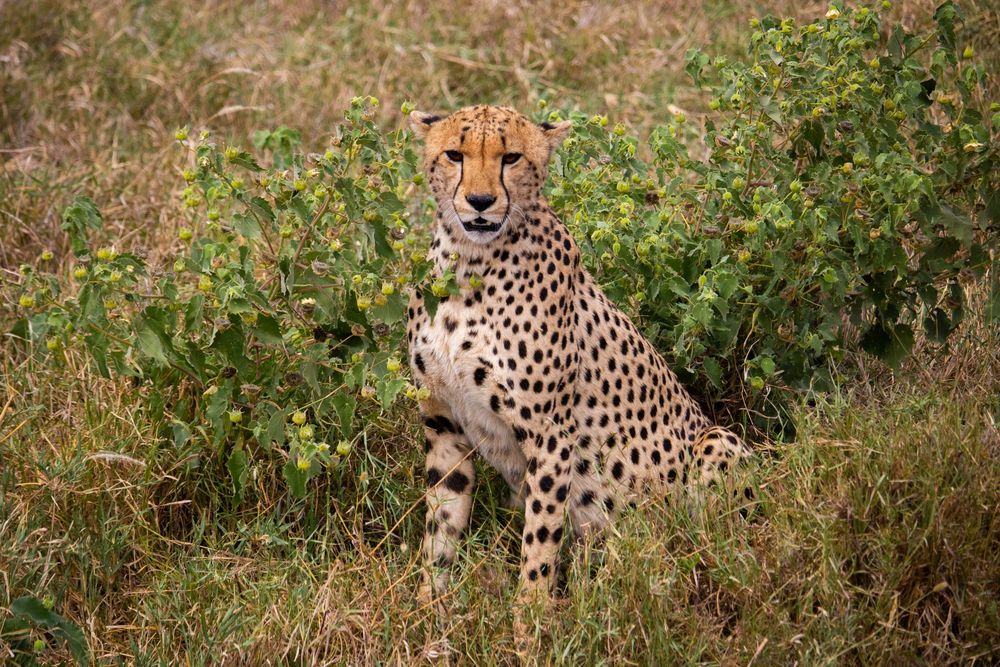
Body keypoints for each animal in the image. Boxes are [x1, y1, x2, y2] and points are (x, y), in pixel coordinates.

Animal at [405, 105, 752, 610]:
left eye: (511, 157)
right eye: (455, 154)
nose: (481, 201)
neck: (469, 262)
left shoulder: (550, 435)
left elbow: (540, 539)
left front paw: (528, 618)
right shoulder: (444, 423)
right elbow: (441, 527)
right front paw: (429, 606)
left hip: (716, 443)